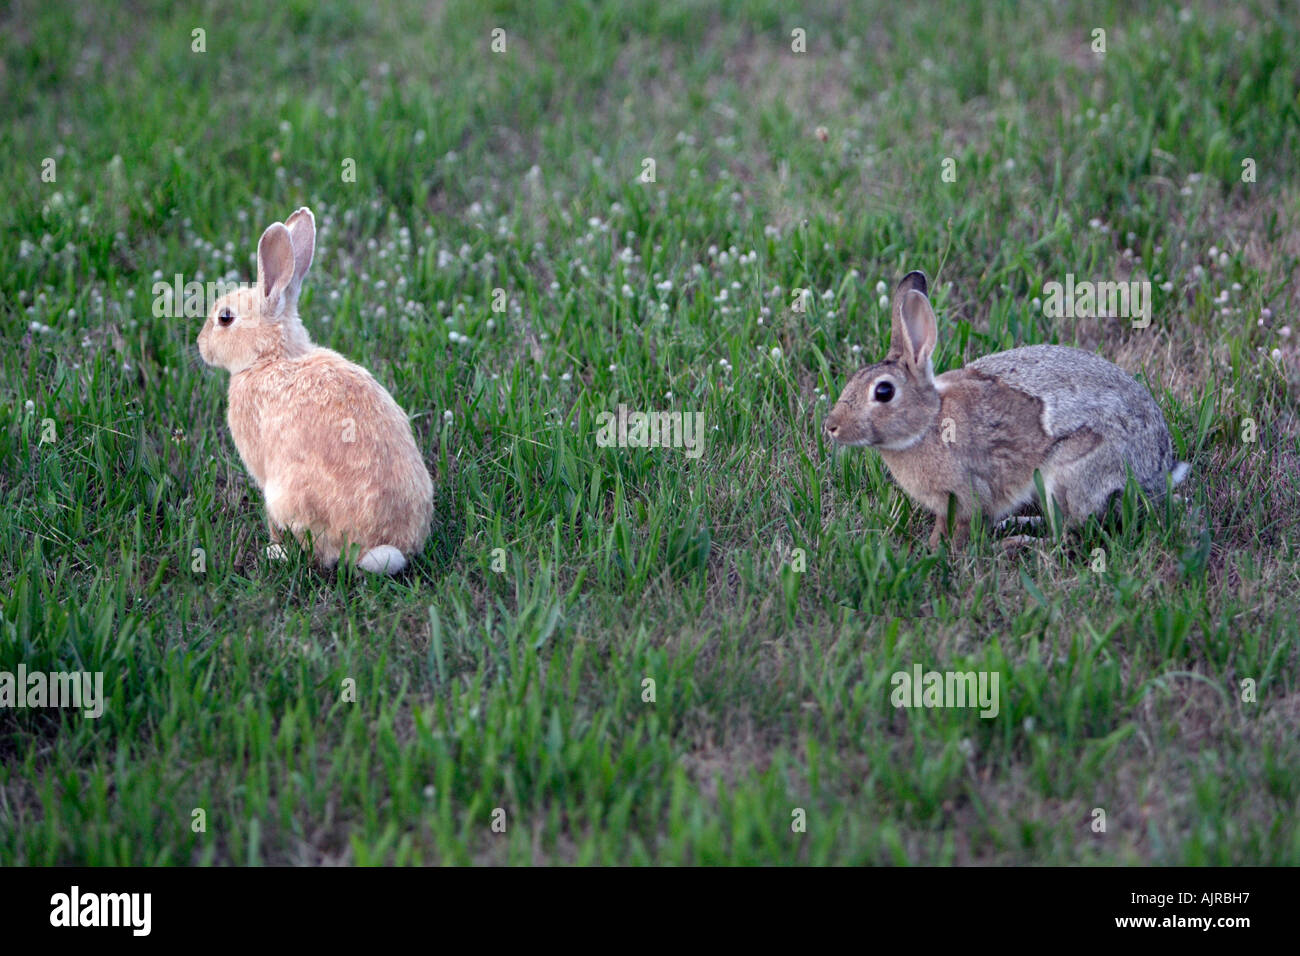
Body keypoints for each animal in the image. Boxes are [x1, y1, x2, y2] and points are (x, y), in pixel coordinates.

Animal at [197, 207, 434, 574]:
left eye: (225, 318)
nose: (200, 346)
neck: (271, 358)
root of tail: (378, 547)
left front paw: (272, 545)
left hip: (286, 495)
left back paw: (277, 553)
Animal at [824, 270, 1189, 549]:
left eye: (883, 391)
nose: (831, 426)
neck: (928, 421)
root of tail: (1156, 474)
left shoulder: (967, 493)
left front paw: (939, 551)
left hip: (1069, 473)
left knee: (1068, 534)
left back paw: (1018, 542)